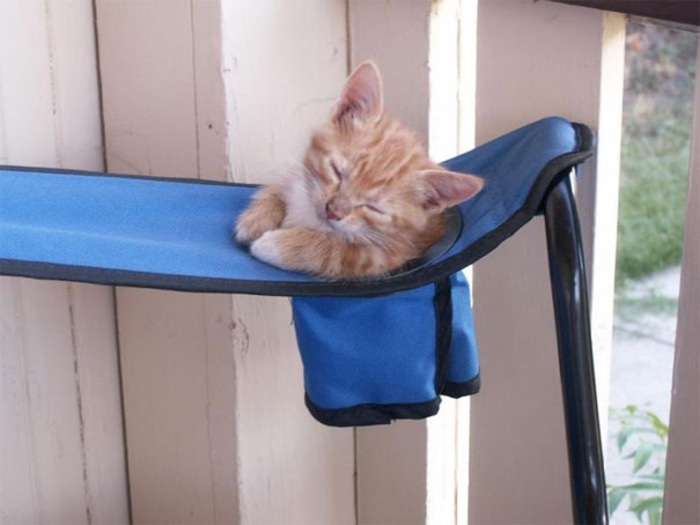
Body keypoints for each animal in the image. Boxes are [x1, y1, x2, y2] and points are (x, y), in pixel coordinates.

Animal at [234, 61, 482, 278]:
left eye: (373, 208)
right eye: (336, 171)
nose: (333, 211)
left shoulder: (387, 255)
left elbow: (335, 251)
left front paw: (271, 244)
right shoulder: (298, 175)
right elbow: (277, 188)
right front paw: (254, 221)